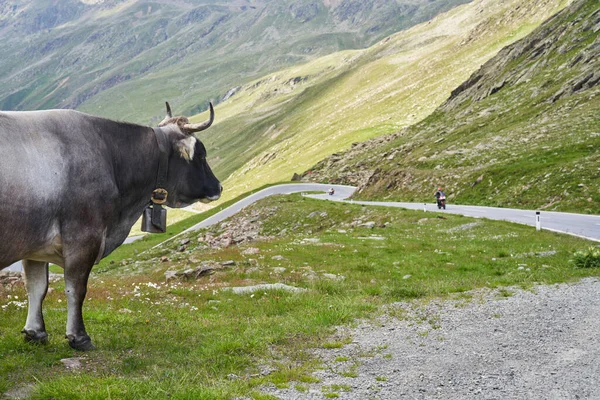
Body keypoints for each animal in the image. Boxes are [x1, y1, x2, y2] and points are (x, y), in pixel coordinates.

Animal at [0, 103, 221, 350]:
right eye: (201, 154)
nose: (219, 187)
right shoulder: (85, 236)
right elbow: (76, 289)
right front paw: (79, 336)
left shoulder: (34, 247)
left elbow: (36, 288)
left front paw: (35, 333)